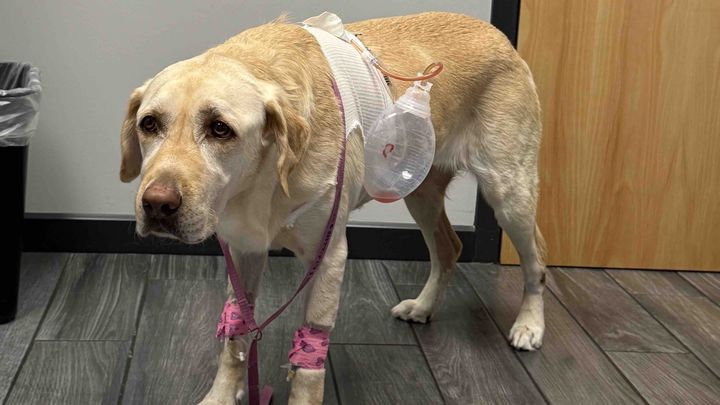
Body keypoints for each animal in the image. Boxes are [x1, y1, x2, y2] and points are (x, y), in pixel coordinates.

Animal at [119, 12, 546, 405]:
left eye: (220, 129)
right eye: (149, 124)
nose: (157, 205)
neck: (265, 178)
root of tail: (496, 33)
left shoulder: (329, 258)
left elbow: (309, 359)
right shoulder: (243, 250)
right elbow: (235, 333)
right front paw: (221, 395)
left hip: (509, 192)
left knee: (536, 260)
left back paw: (530, 324)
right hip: (419, 193)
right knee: (448, 248)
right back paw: (424, 306)